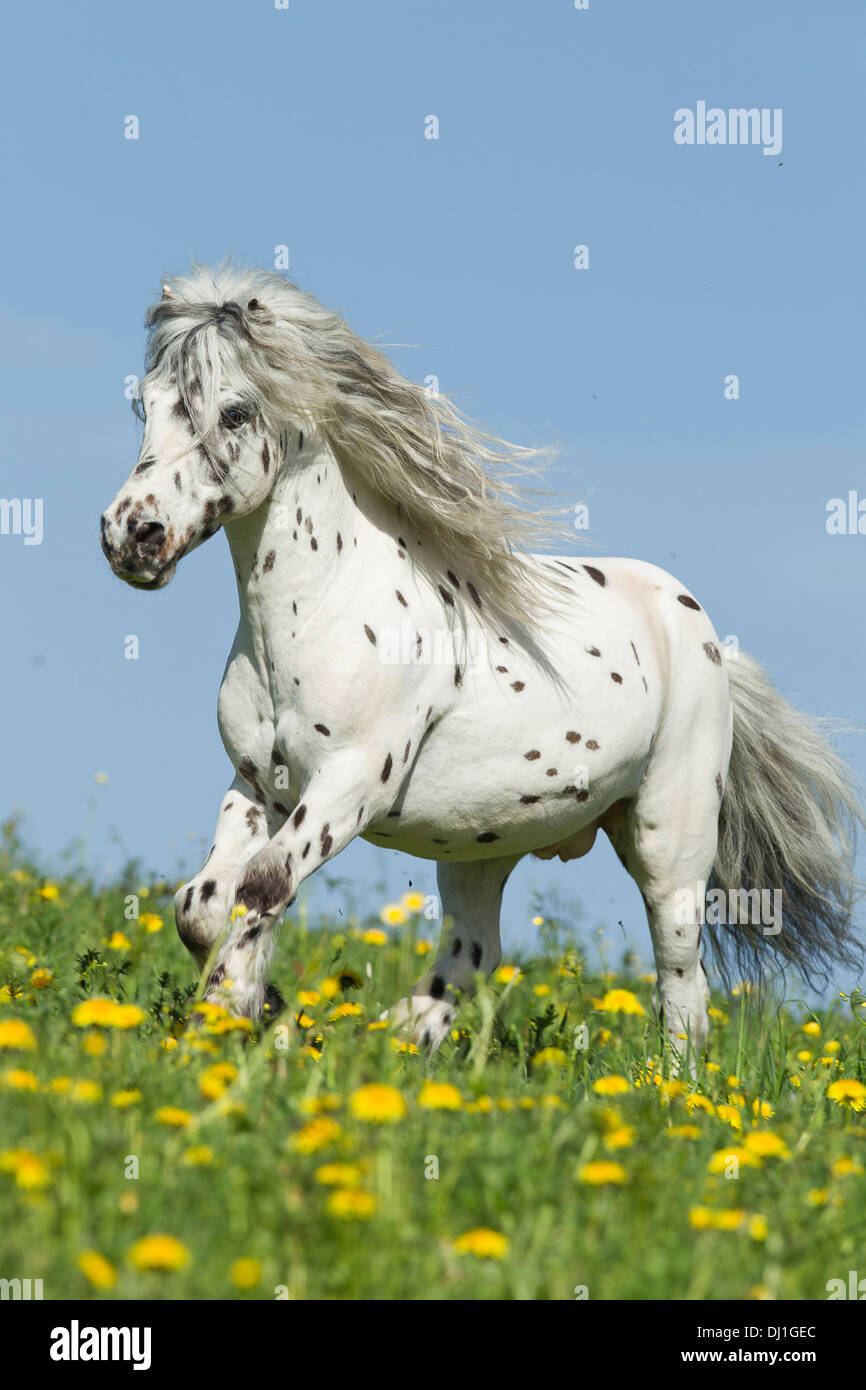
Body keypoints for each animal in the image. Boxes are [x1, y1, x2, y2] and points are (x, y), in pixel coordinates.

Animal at [99, 264, 863, 1063]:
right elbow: (200, 904)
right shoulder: (258, 786)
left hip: (669, 835)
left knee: (682, 975)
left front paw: (230, 1015)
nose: (132, 536)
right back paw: (394, 1045)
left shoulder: (348, 785)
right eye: (144, 404)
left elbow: (265, 885)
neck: (321, 613)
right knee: (473, 954)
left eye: (236, 412)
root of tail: (706, 634)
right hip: (481, 843)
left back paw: (669, 1083)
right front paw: (256, 1007)